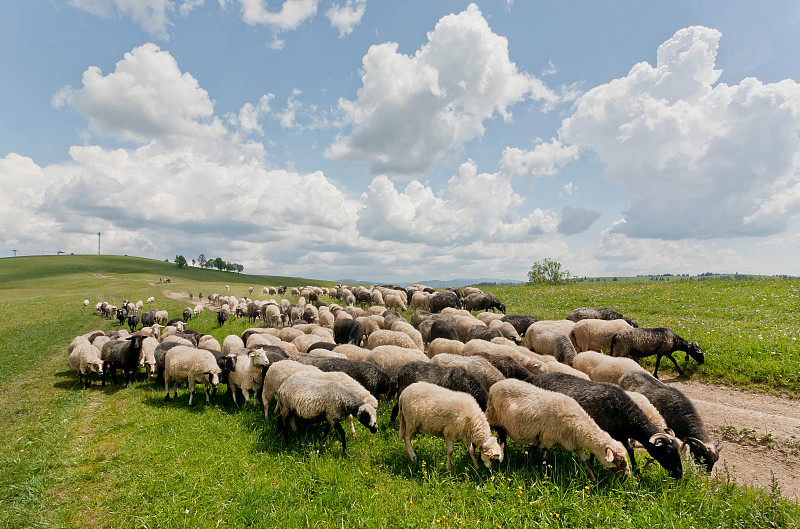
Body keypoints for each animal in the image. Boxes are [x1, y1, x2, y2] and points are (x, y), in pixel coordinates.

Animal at [482, 378, 632, 480]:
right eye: (618, 460)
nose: (628, 477)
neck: (578, 424)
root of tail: (497, 384)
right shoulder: (548, 438)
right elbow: (544, 459)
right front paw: (543, 477)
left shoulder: (575, 444)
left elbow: (586, 461)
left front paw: (593, 479)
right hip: (493, 416)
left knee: (502, 437)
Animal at [524, 372, 680, 478]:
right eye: (668, 450)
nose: (679, 474)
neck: (624, 413)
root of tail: (531, 378)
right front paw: (593, 466)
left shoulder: (620, 434)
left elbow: (630, 449)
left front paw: (637, 471)